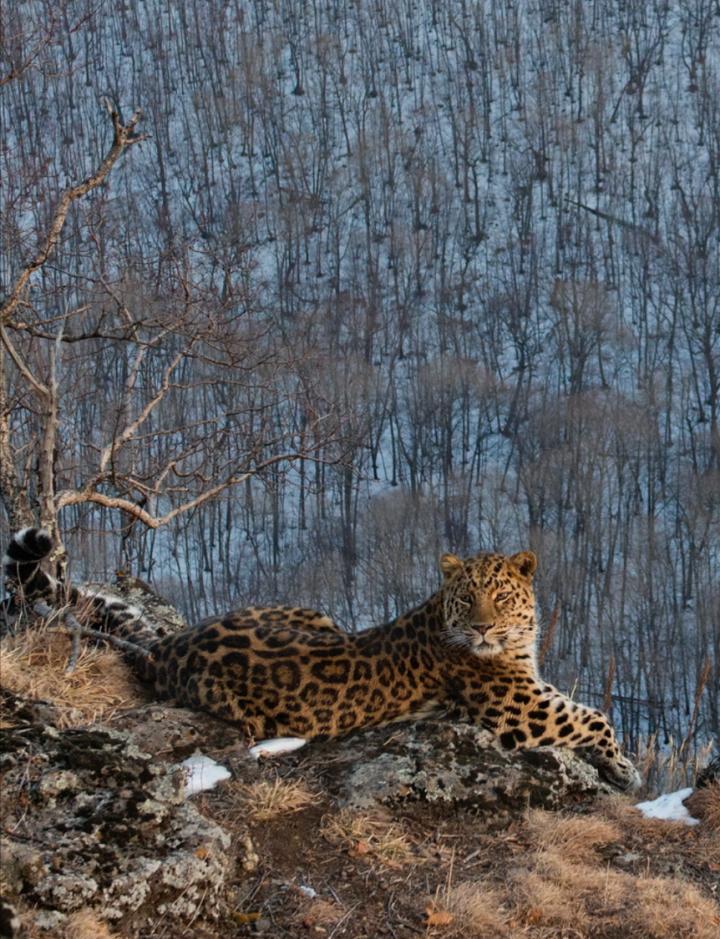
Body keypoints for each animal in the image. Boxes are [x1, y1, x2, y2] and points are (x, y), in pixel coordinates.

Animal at [3, 528, 640, 789]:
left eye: (500, 597)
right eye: (468, 599)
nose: (482, 626)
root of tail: (169, 646)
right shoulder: (520, 707)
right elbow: (596, 718)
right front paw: (624, 768)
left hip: (315, 614)